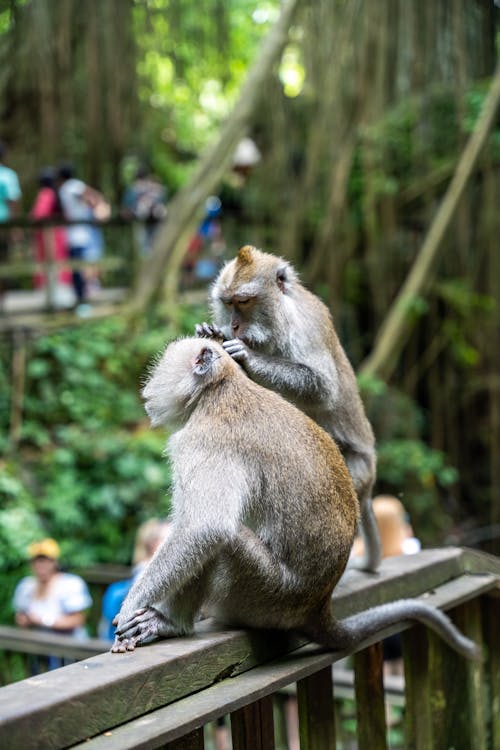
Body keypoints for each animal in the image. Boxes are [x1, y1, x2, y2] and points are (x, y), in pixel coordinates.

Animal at [110, 336, 480, 664]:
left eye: (161, 365)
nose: (148, 389)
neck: (220, 390)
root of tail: (317, 607)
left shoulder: (202, 442)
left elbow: (205, 528)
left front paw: (132, 606)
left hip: (263, 596)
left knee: (227, 541)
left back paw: (173, 624)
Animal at [195, 245, 378, 568]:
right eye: (228, 303)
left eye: (244, 301)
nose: (233, 325)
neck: (281, 318)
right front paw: (211, 332)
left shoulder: (307, 327)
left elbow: (322, 387)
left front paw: (249, 356)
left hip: (353, 476)